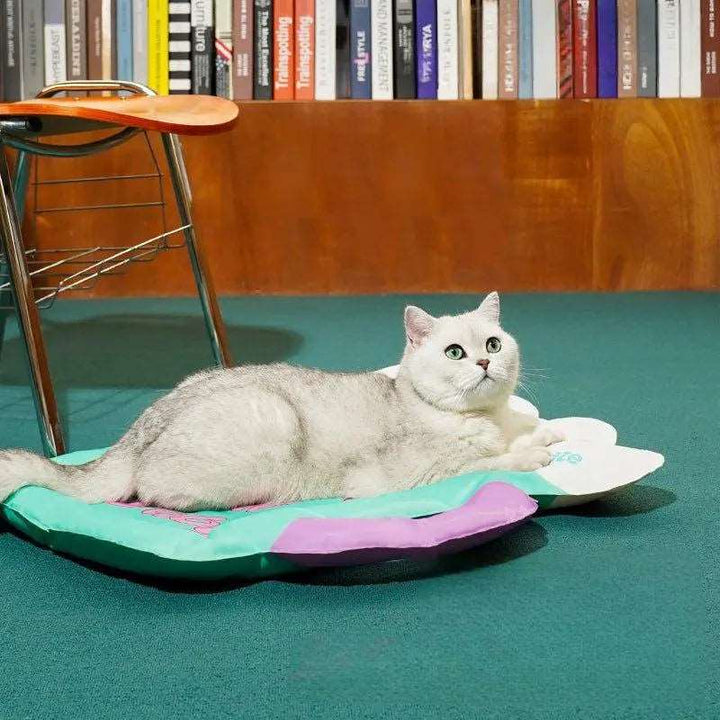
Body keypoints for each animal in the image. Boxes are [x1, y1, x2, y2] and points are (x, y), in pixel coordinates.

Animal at [0, 292, 564, 512]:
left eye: (493, 344)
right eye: (454, 352)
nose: (485, 363)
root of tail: (135, 434)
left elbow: (521, 426)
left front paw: (544, 430)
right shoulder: (414, 476)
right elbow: (489, 463)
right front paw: (531, 452)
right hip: (270, 424)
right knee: (150, 492)